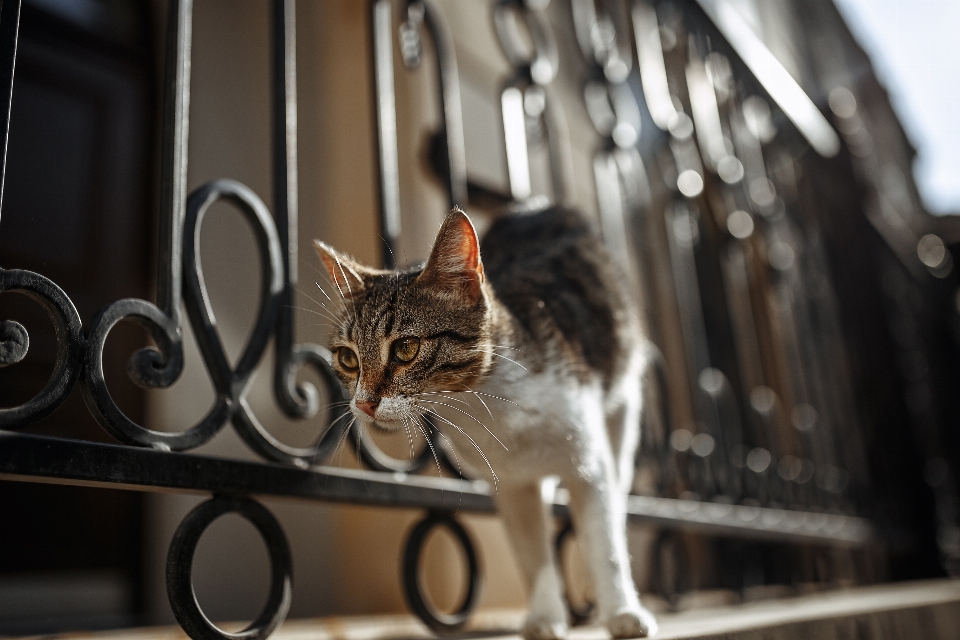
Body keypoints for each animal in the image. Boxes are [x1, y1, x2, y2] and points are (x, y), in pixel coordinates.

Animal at [316, 206, 660, 640]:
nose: (363, 403)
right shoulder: (511, 484)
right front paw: (545, 617)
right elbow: (532, 551)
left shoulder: (588, 463)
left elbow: (605, 541)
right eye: (347, 359)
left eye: (406, 348)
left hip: (624, 402)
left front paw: (622, 613)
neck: (491, 408)